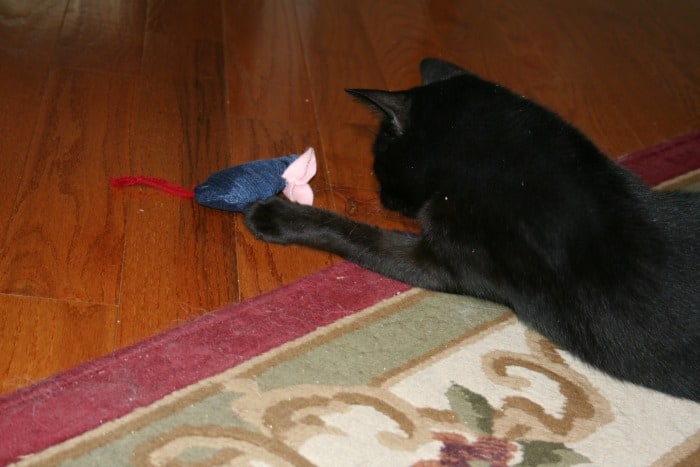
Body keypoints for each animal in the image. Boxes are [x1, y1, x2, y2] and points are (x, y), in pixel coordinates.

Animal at [246, 57, 700, 402]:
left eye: (377, 163)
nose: (384, 198)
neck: (509, 156)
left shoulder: (437, 259)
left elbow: (360, 235)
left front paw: (278, 216)